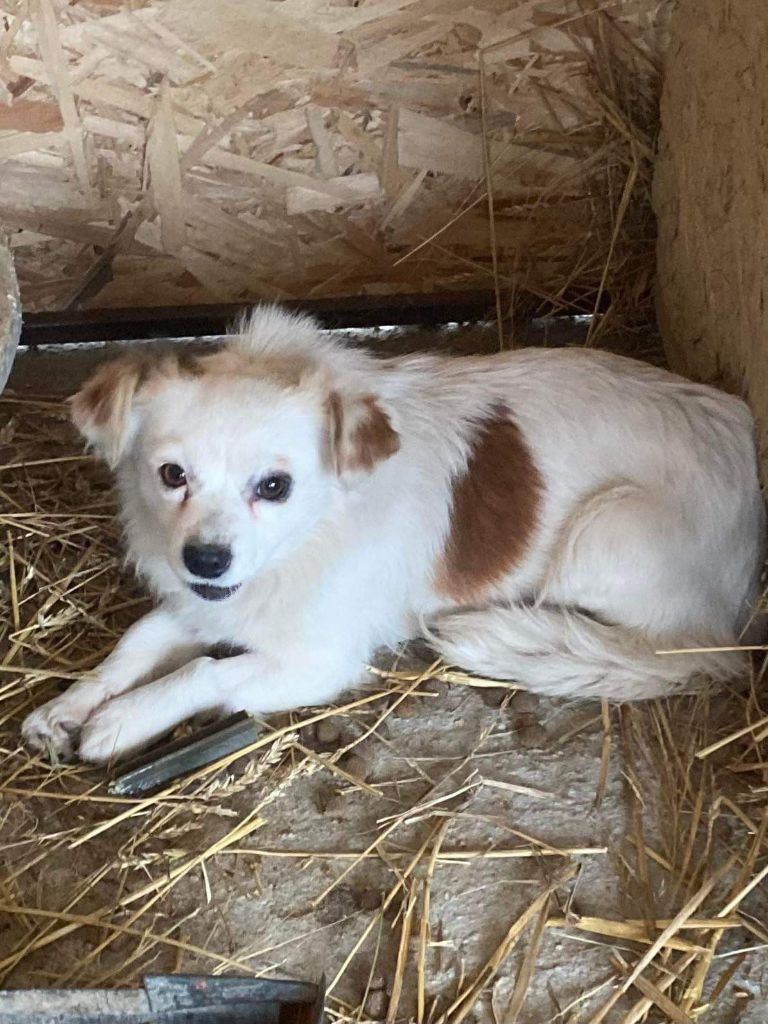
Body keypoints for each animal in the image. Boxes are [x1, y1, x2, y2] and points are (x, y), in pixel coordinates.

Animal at [21, 306, 766, 763]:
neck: (312, 534)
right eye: (172, 474)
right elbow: (133, 645)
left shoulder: (318, 661)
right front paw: (68, 707)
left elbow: (202, 670)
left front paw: (122, 720)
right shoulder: (210, 603)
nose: (205, 559)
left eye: (274, 487)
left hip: (601, 534)